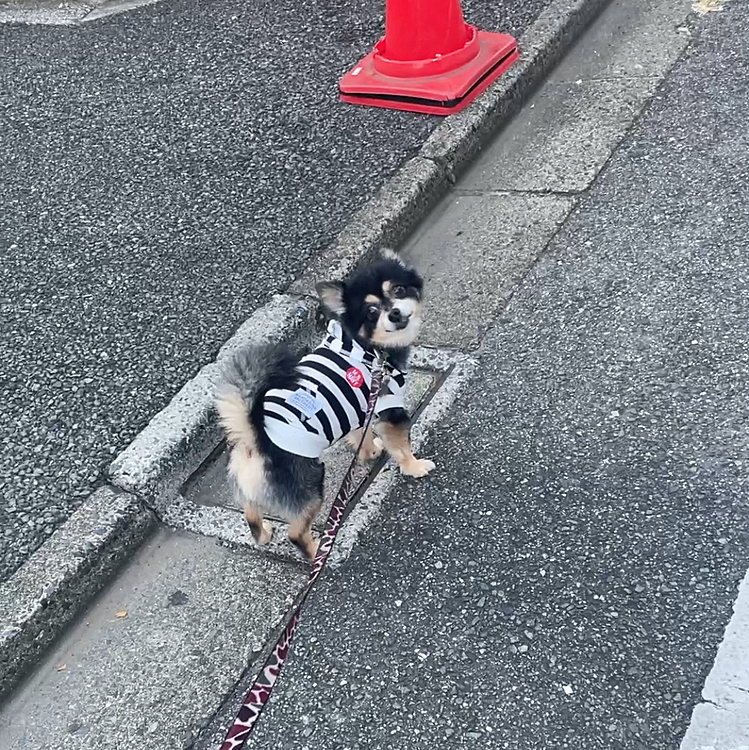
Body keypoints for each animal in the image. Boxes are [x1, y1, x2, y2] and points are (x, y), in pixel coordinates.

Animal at [213, 250, 436, 560]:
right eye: (371, 313)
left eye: (399, 290)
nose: (393, 313)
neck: (367, 348)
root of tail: (254, 436)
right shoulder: (388, 407)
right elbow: (401, 447)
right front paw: (414, 466)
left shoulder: (361, 408)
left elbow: (361, 435)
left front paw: (369, 451)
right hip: (310, 482)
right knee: (296, 532)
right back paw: (318, 549)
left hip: (254, 488)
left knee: (251, 511)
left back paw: (263, 534)